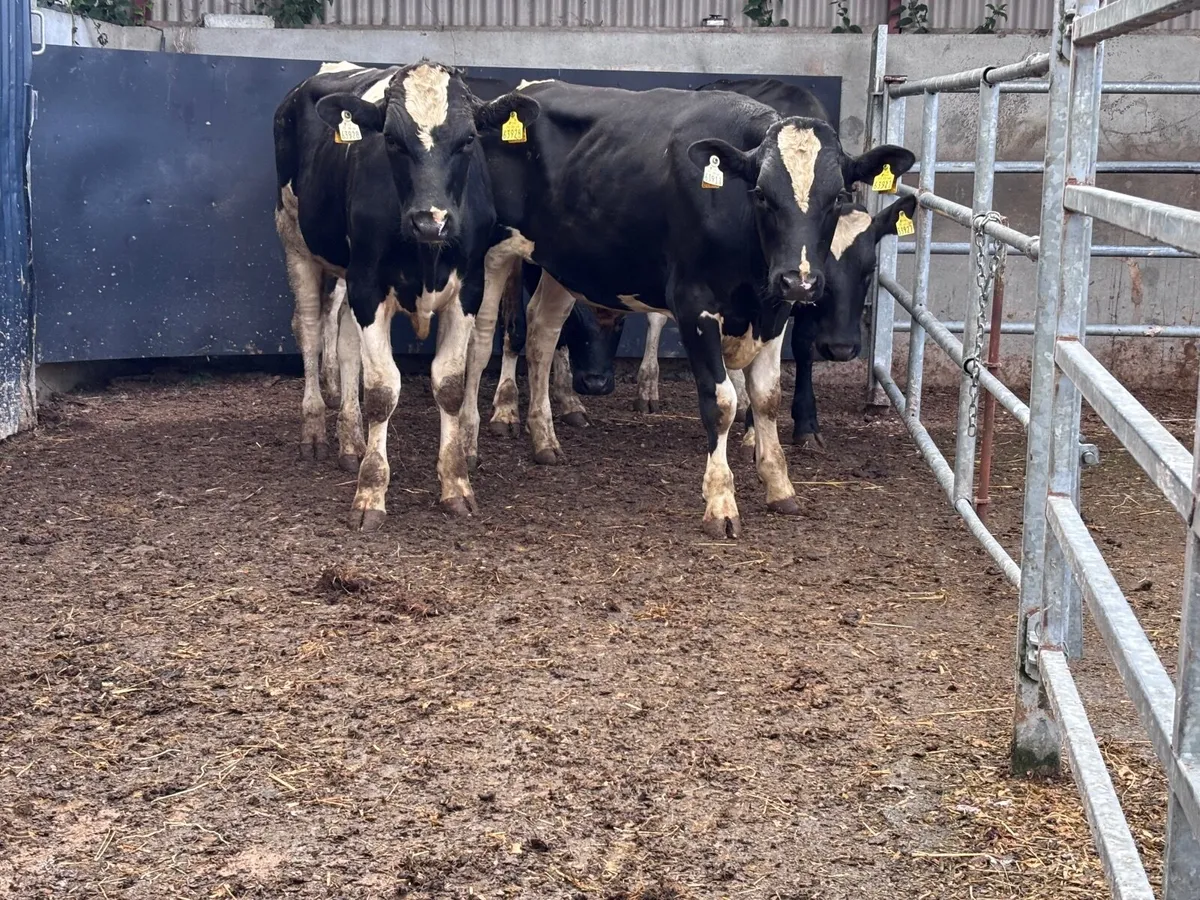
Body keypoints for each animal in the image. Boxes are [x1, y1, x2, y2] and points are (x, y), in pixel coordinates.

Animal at [272, 60, 538, 530]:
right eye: (392, 140)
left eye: (468, 139)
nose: (431, 221)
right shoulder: (368, 287)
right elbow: (382, 390)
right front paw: (370, 493)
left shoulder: (467, 289)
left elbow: (449, 385)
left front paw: (456, 485)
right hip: (294, 238)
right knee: (309, 329)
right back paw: (315, 430)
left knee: (344, 342)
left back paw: (351, 441)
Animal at [461, 80, 914, 538]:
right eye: (762, 195)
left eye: (836, 196)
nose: (799, 280)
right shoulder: (694, 305)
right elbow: (722, 401)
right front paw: (721, 502)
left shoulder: (775, 312)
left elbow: (767, 397)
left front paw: (779, 485)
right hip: (493, 252)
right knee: (483, 342)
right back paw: (469, 445)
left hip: (563, 263)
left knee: (542, 334)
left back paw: (545, 440)